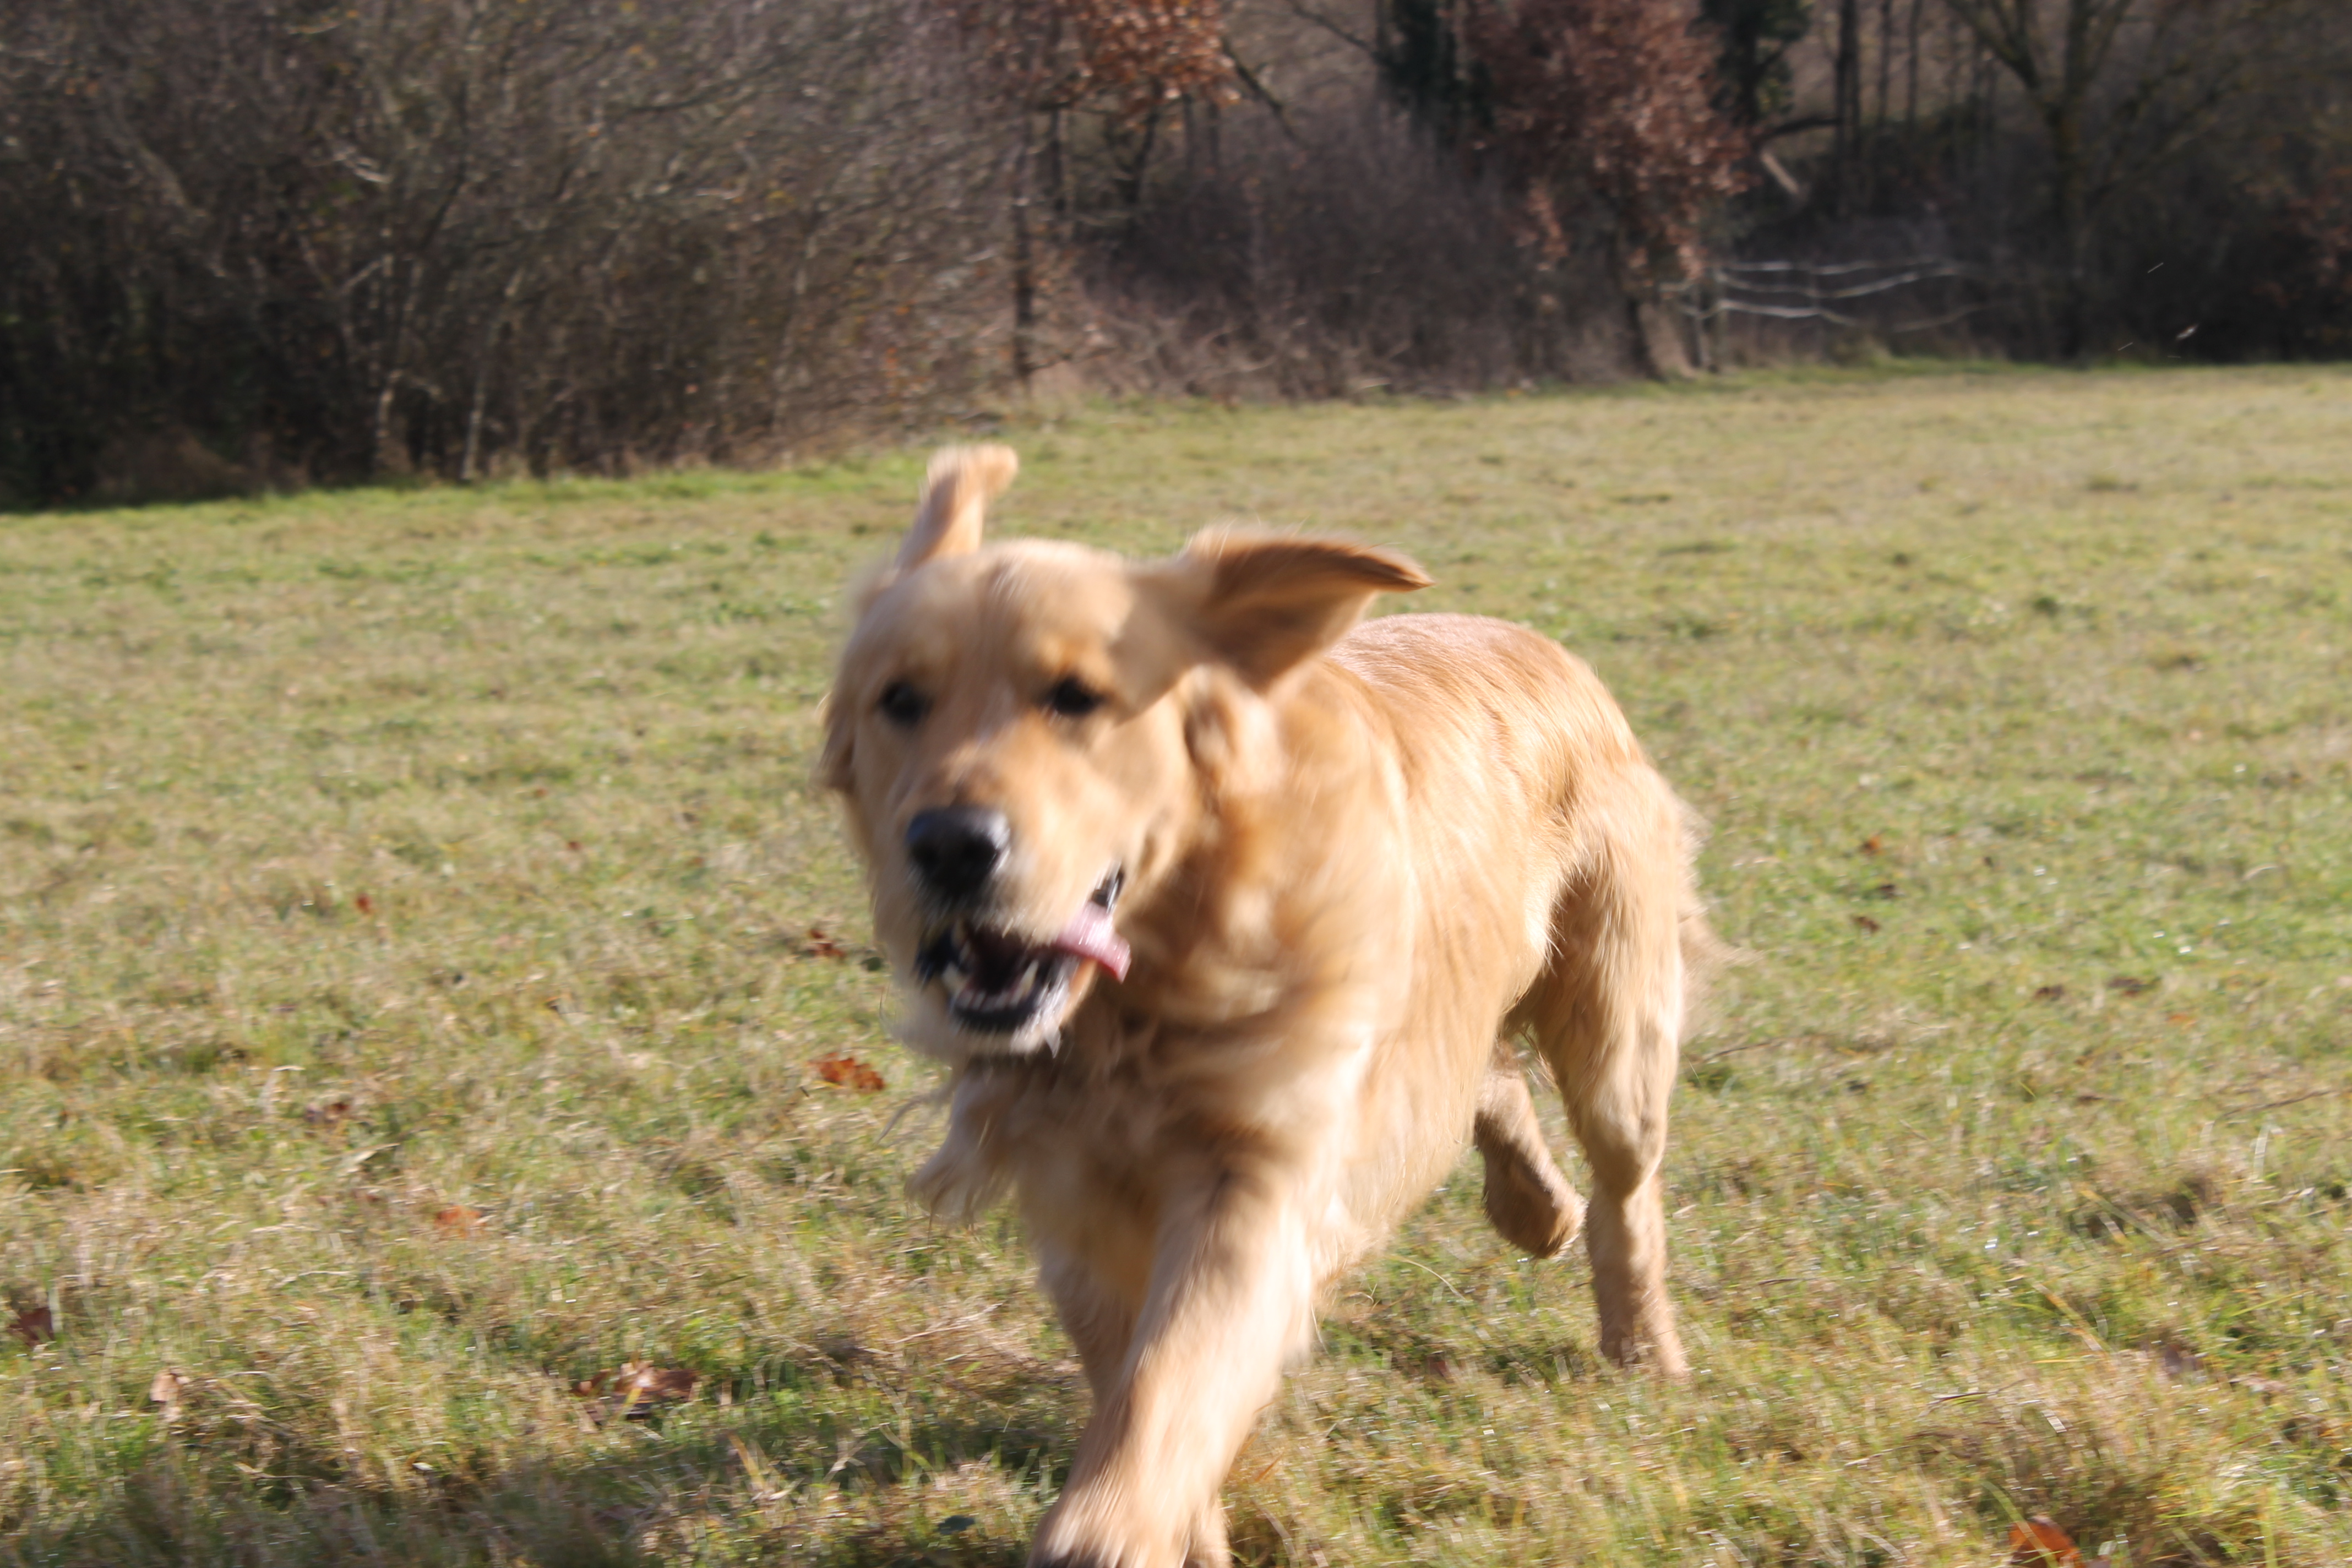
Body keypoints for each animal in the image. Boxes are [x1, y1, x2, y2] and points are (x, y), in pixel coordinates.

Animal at [822, 445, 1713, 1568]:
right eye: (900, 699)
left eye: (1076, 697)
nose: (948, 845)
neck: (1147, 994)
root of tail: (1545, 645)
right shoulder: (1073, 1197)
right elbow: (1134, 1373)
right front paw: (1184, 1531)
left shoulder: (1256, 1175)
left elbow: (1171, 1378)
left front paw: (1109, 1528)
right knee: (1491, 1082)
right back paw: (1531, 1206)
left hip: (1614, 1027)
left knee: (1623, 1186)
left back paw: (1642, 1341)